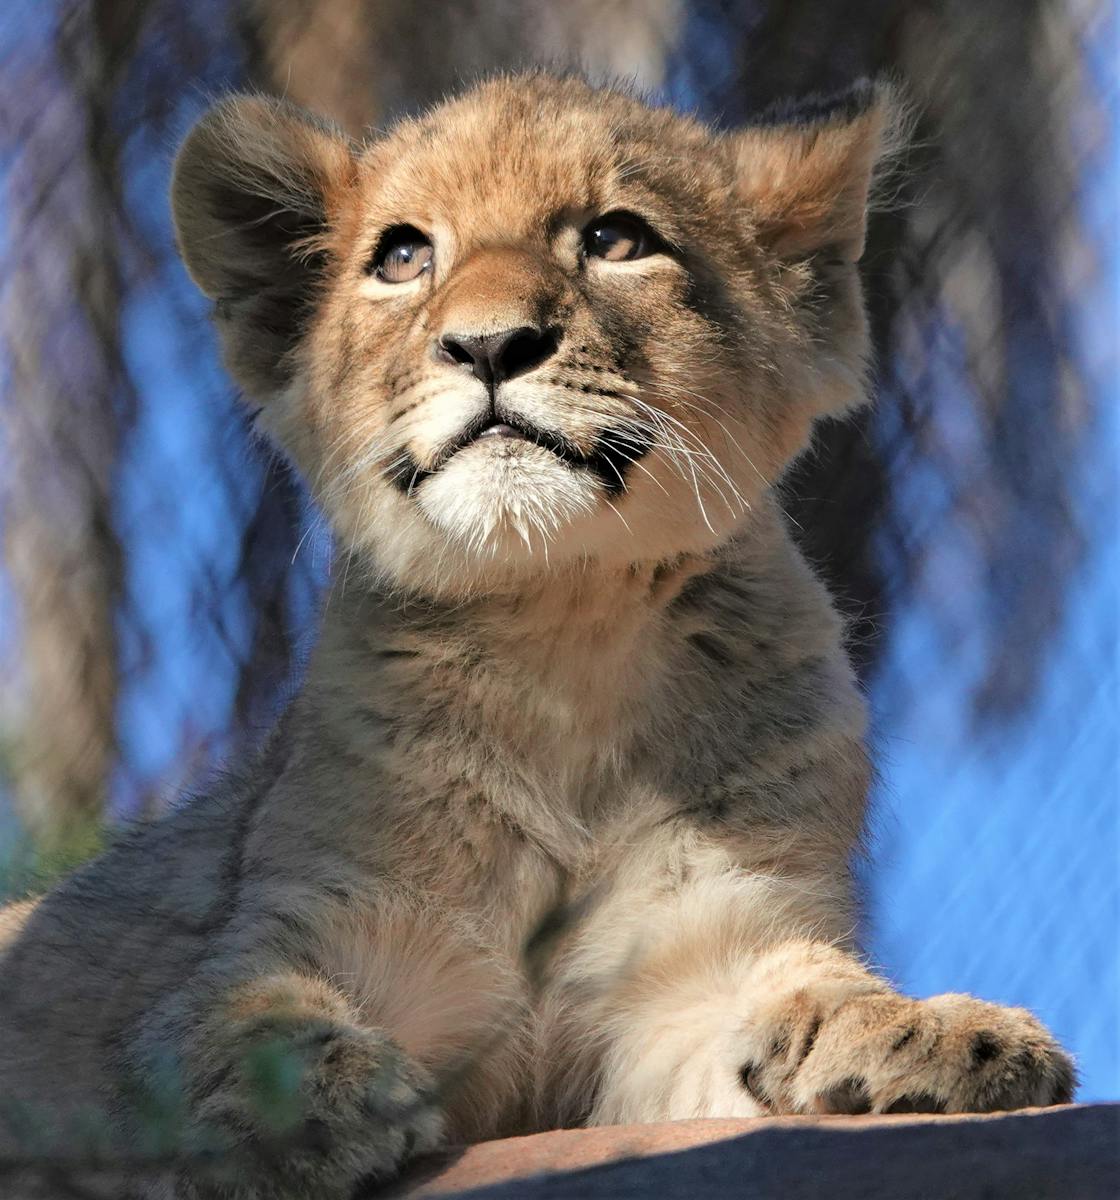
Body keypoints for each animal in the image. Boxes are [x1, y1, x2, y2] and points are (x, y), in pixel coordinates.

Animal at [0, 74, 1073, 1198]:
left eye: (615, 237)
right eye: (402, 256)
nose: (488, 345)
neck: (559, 633)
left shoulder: (694, 967)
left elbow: (808, 989)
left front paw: (938, 1033)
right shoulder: (321, 923)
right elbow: (229, 1018)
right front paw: (307, 1104)